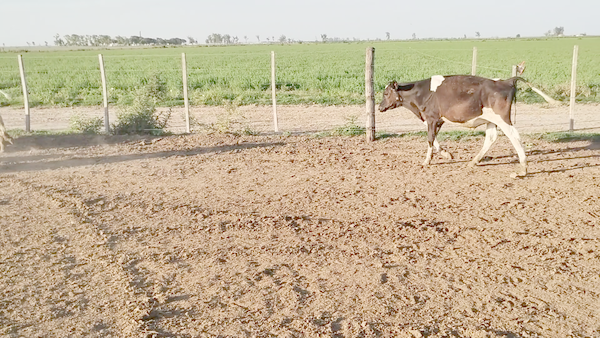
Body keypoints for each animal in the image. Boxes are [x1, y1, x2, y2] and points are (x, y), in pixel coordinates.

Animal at [382, 75, 528, 178]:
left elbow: (430, 139)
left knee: (514, 136)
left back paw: (523, 168)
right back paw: (473, 161)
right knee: (491, 138)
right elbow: (434, 138)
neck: (421, 93)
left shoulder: (431, 118)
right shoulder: (437, 120)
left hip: (502, 119)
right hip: (491, 120)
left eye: (386, 93)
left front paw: (427, 160)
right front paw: (447, 154)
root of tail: (505, 81)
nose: (379, 107)